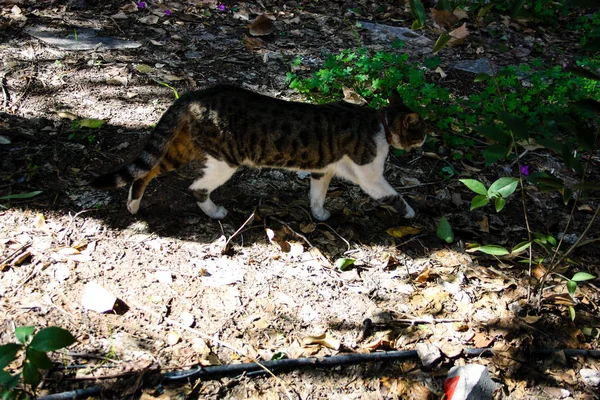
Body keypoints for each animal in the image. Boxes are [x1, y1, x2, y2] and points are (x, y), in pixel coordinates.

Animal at [90, 84, 426, 220]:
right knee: (196, 188)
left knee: (145, 171)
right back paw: (215, 212)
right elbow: (393, 195)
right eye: (421, 131)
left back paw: (133, 205)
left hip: (181, 148)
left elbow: (317, 195)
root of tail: (194, 94)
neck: (381, 123)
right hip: (225, 161)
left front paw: (318, 214)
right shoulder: (370, 176)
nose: (425, 139)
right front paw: (411, 212)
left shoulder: (322, 170)